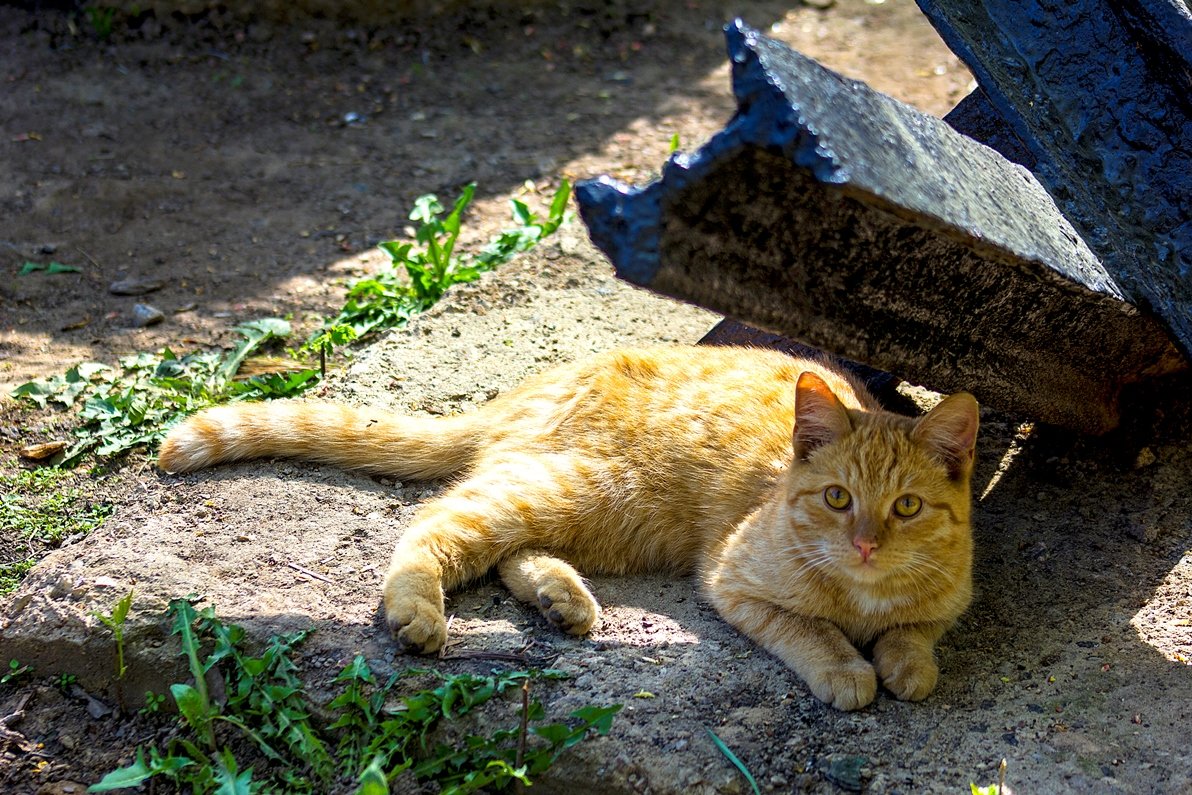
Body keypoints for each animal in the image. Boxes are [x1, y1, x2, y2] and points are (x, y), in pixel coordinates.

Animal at [158, 345, 977, 710]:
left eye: (906, 507)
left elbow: (916, 635)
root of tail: (526, 389)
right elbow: (813, 631)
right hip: (577, 489)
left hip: (598, 516)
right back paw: (417, 610)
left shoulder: (947, 603)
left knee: (508, 550)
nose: (864, 543)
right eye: (838, 498)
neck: (864, 592)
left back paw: (562, 599)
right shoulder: (734, 583)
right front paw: (849, 668)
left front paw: (906, 662)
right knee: (439, 519)